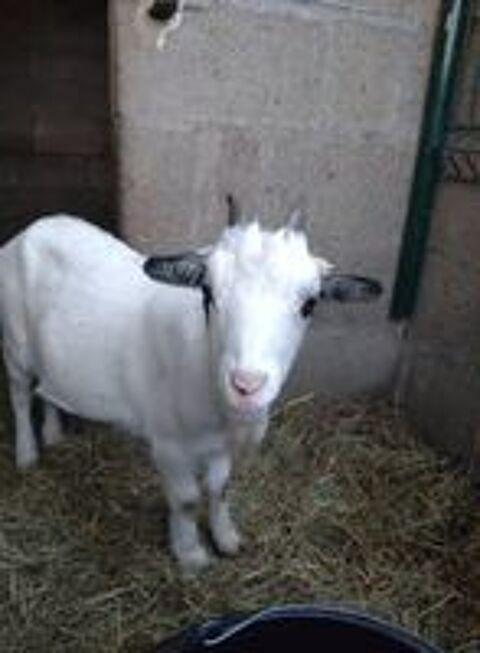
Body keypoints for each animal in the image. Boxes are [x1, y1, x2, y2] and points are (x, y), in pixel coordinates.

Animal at [0, 205, 381, 572]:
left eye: (310, 304)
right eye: (207, 293)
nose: (246, 385)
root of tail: (33, 229)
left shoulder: (221, 446)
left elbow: (219, 488)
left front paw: (226, 538)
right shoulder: (168, 444)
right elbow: (186, 500)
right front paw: (190, 554)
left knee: (47, 390)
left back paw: (53, 435)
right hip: (14, 342)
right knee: (19, 396)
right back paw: (27, 454)